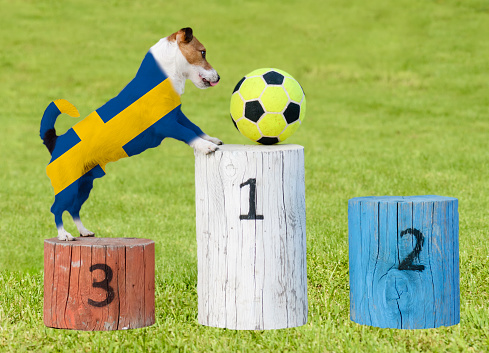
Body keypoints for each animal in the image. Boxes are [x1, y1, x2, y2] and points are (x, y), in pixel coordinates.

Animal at [41, 28, 222, 241]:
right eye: (203, 52)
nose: (219, 77)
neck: (163, 77)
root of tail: (55, 141)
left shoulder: (177, 115)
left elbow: (194, 127)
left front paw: (209, 139)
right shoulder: (166, 124)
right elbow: (188, 133)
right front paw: (205, 146)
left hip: (85, 185)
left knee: (74, 209)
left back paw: (84, 231)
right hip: (68, 188)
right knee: (57, 209)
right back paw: (64, 234)